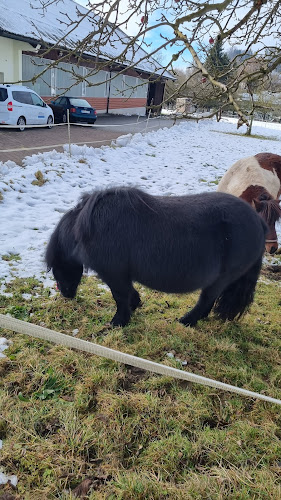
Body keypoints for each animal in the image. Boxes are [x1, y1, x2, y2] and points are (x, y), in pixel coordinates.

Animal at [44, 188, 266, 328]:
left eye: (57, 268)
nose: (66, 294)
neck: (88, 226)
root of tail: (259, 222)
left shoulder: (114, 274)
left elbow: (120, 296)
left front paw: (118, 322)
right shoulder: (122, 275)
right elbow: (129, 293)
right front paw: (134, 307)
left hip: (221, 279)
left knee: (205, 300)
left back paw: (185, 321)